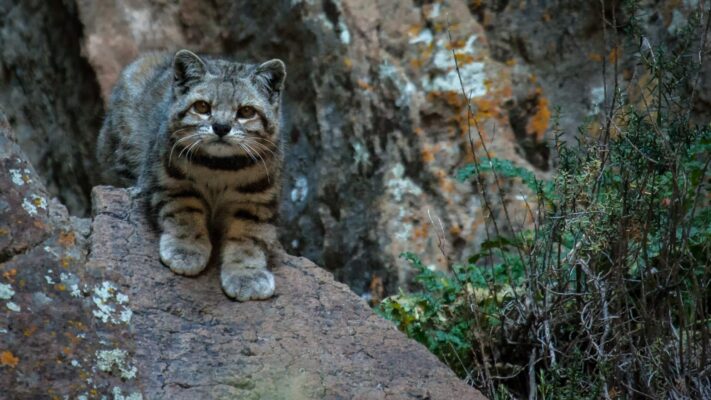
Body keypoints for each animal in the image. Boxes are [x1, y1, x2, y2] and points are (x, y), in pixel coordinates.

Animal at [98, 50, 286, 300]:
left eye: (246, 111)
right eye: (202, 106)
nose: (221, 127)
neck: (220, 168)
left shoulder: (256, 201)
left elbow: (249, 238)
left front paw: (247, 275)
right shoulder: (171, 184)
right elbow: (186, 216)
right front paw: (186, 250)